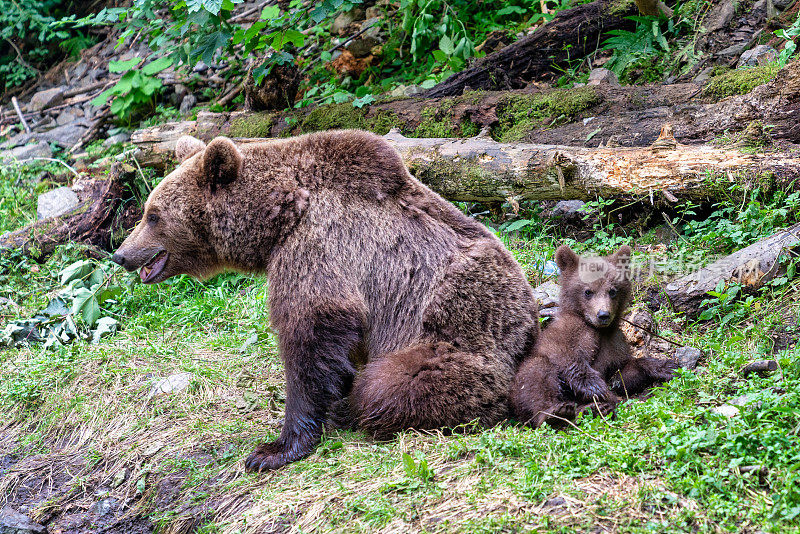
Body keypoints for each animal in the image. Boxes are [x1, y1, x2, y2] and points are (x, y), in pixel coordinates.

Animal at [112, 131, 536, 474]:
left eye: (153, 215)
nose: (120, 254)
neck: (279, 219)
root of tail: (530, 325)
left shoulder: (321, 246)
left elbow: (311, 333)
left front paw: (274, 449)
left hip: (460, 331)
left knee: (391, 384)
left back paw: (357, 407)